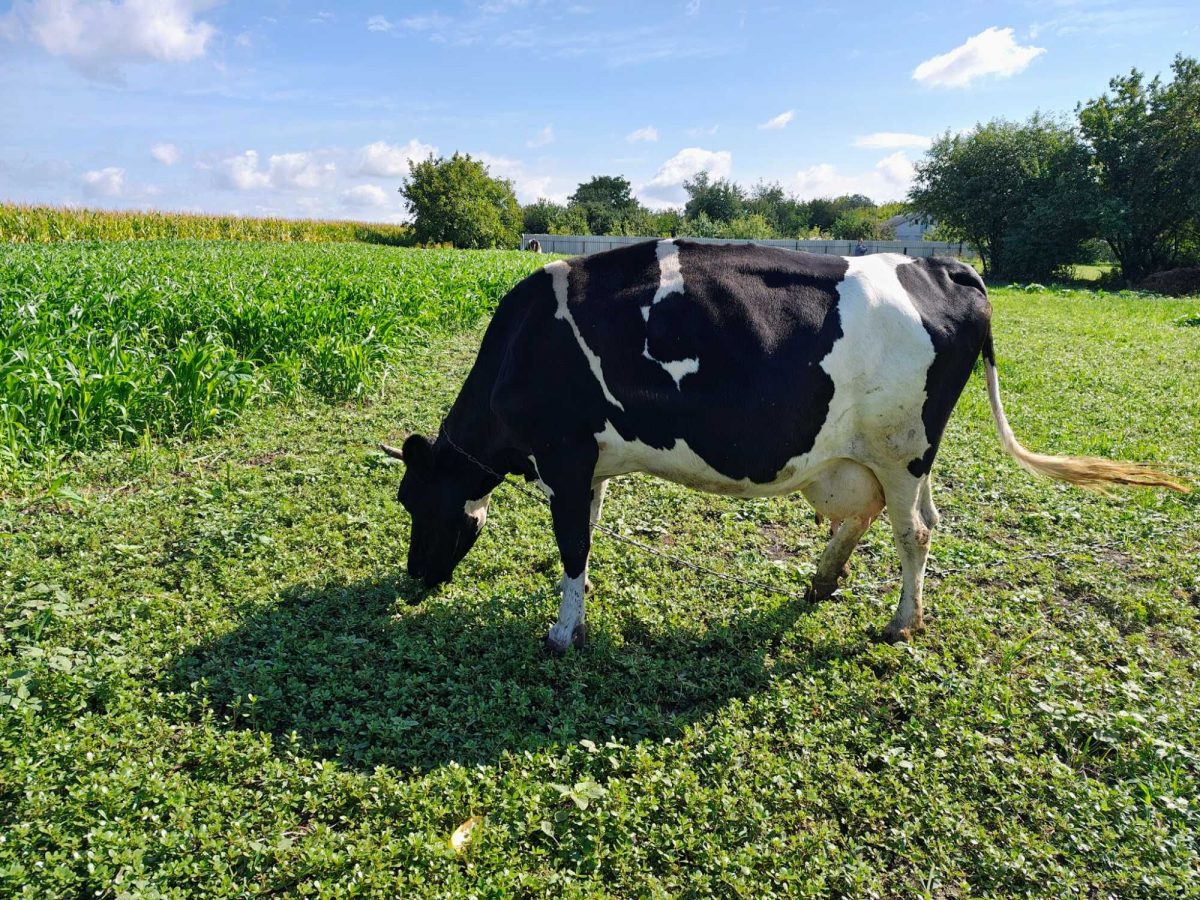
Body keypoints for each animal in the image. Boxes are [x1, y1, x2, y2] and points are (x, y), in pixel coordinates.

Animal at [383, 240, 1185, 651]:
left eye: (413, 500)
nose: (415, 578)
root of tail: (943, 265)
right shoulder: (591, 462)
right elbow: (592, 528)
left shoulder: (565, 455)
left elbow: (574, 546)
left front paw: (561, 631)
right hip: (883, 453)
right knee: (886, 516)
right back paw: (823, 580)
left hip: (899, 446)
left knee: (916, 533)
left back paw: (901, 622)